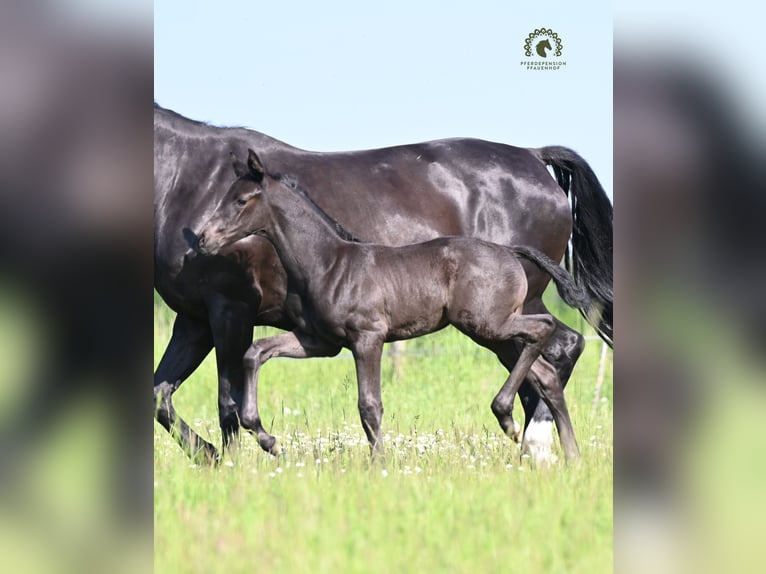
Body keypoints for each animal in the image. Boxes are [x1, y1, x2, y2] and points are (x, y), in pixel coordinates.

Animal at [154, 103, 612, 464]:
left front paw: (232, 464)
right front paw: (221, 453)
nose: (202, 240)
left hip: (499, 318)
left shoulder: (232, 309)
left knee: (557, 347)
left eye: (242, 200)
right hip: (503, 320)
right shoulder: (203, 320)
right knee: (549, 366)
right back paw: (548, 452)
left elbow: (229, 401)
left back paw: (531, 441)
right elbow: (164, 393)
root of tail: (535, 156)